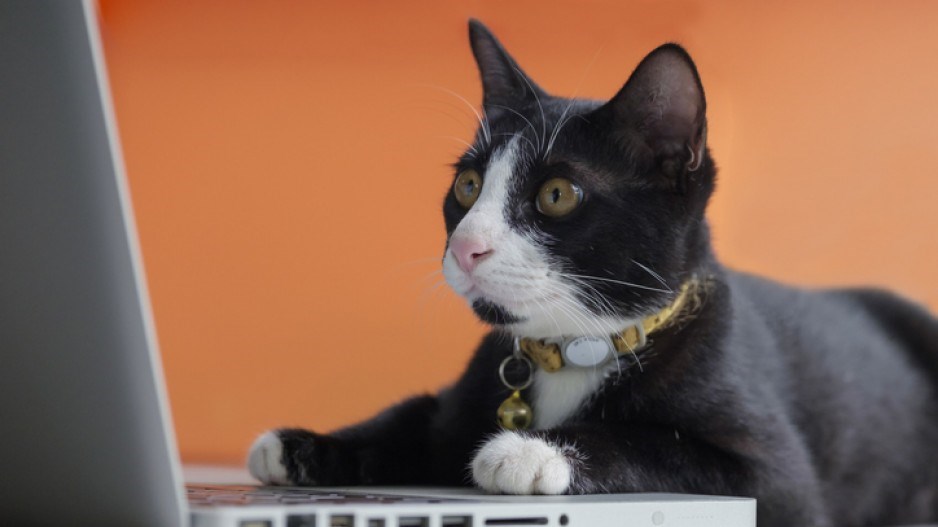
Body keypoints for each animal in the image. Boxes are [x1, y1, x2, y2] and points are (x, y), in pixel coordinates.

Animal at [249, 20, 936, 527]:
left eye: (557, 195)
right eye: (466, 186)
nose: (466, 246)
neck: (573, 348)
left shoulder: (775, 473)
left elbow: (657, 442)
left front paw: (532, 451)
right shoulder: (464, 397)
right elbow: (415, 416)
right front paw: (305, 445)